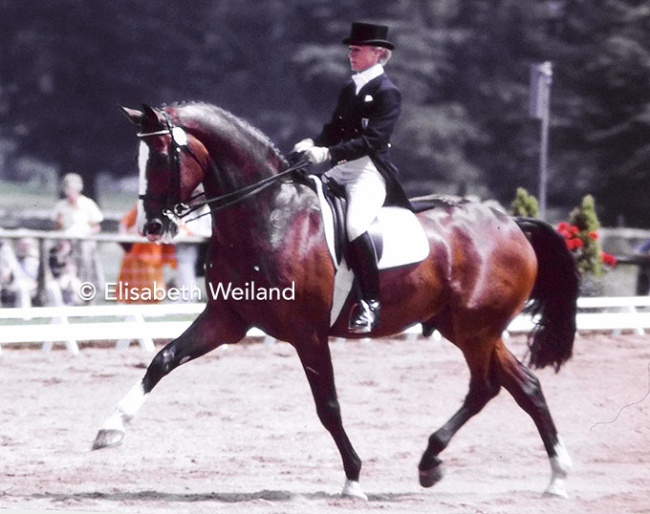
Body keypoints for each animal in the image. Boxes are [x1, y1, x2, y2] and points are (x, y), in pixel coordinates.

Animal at [92, 102, 576, 498]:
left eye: (162, 157)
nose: (152, 227)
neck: (268, 215)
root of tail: (509, 222)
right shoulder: (227, 319)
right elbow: (163, 360)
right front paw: (109, 430)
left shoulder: (308, 333)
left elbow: (327, 406)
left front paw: (353, 478)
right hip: (464, 327)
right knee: (524, 386)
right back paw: (555, 475)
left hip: (476, 328)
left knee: (485, 387)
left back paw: (433, 460)